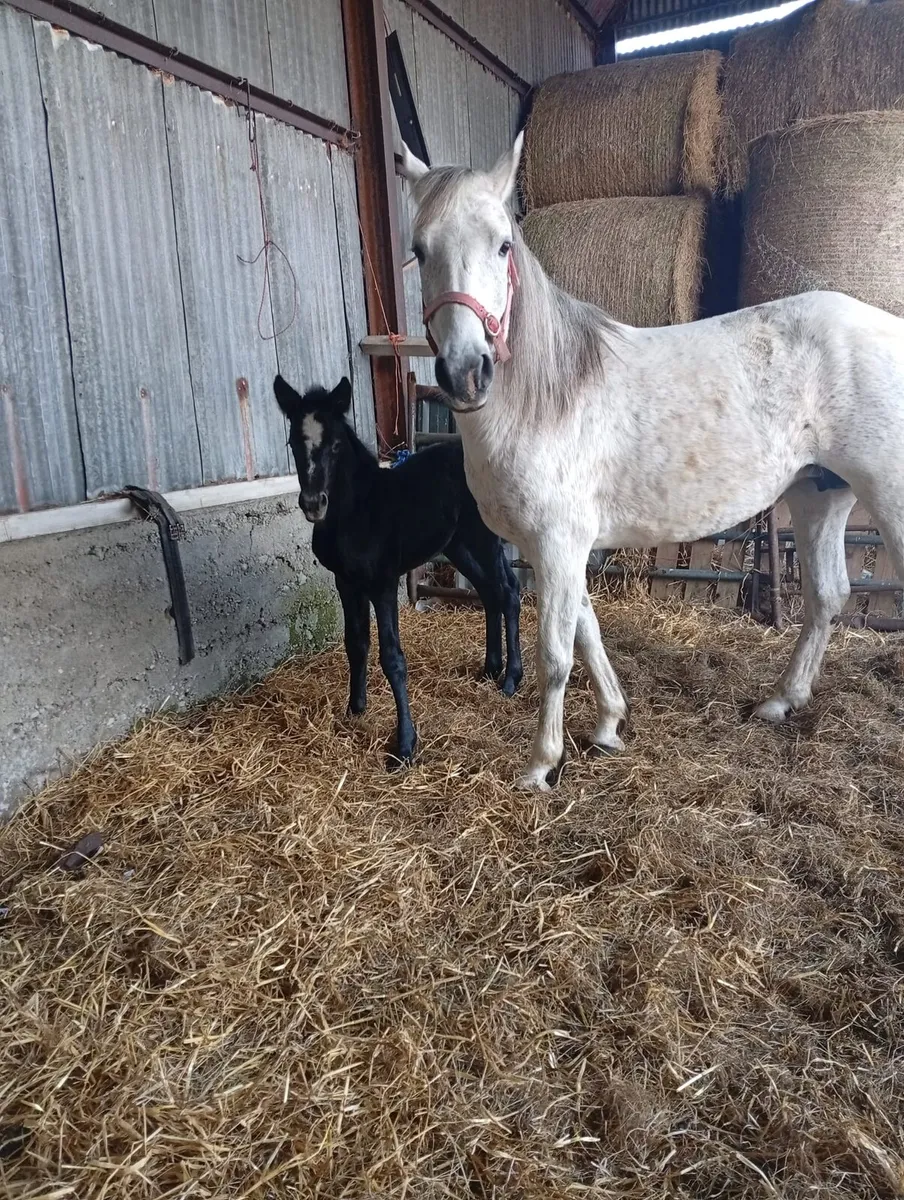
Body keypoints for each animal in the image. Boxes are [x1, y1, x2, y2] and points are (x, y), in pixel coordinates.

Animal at [274, 375, 522, 768]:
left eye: (336, 445)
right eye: (293, 442)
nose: (313, 504)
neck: (357, 512)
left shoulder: (383, 583)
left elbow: (392, 658)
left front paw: (405, 744)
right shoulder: (346, 583)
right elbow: (356, 643)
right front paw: (355, 709)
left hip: (483, 539)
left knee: (508, 592)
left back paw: (511, 679)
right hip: (458, 545)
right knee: (490, 593)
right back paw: (491, 668)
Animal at [399, 133, 904, 790]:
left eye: (503, 244)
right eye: (419, 250)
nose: (465, 373)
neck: (545, 400)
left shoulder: (557, 543)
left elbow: (556, 654)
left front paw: (541, 765)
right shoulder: (557, 548)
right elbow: (587, 633)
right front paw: (609, 725)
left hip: (886, 496)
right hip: (819, 494)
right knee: (826, 598)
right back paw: (780, 701)